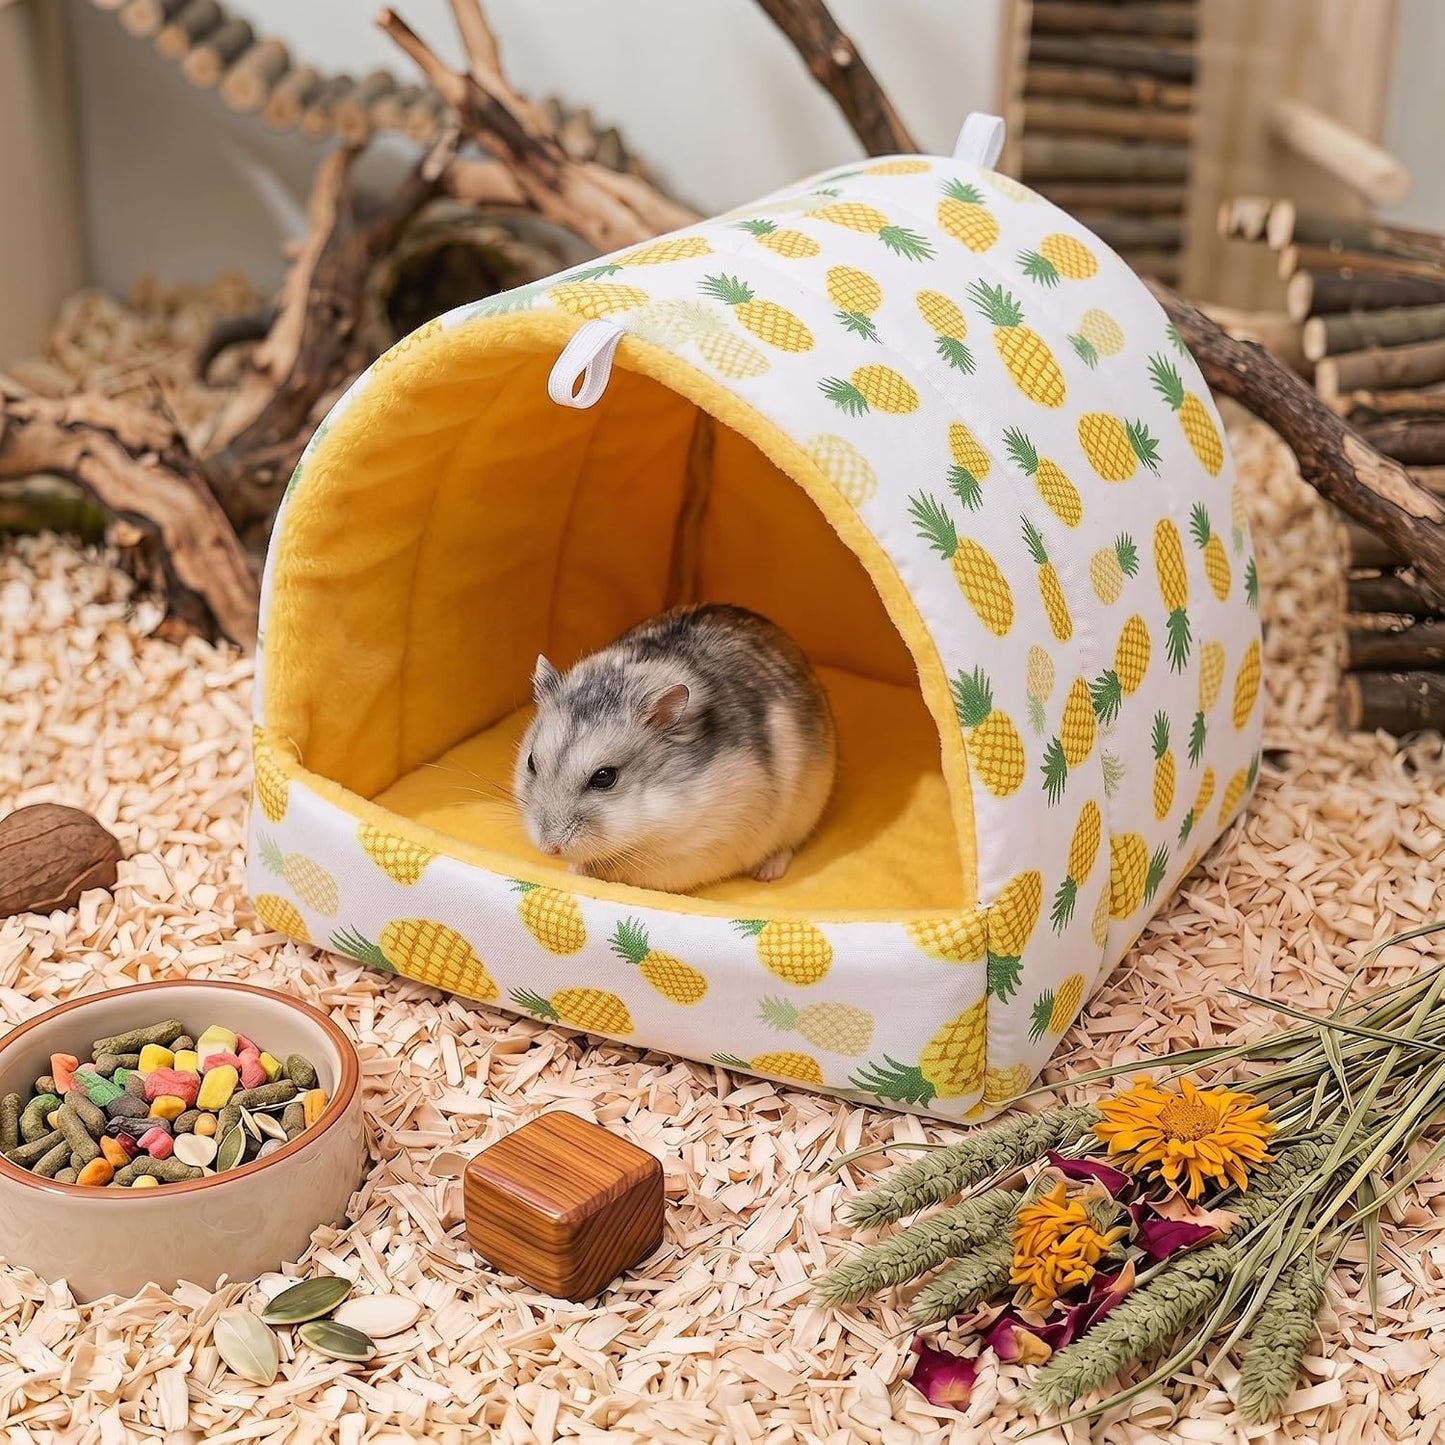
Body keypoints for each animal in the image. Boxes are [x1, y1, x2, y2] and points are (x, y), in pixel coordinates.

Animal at [514, 603, 837, 894]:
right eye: (531, 762)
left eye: (604, 777)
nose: (548, 848)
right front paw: (576, 869)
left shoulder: (700, 847)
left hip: (804, 811)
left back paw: (766, 873)